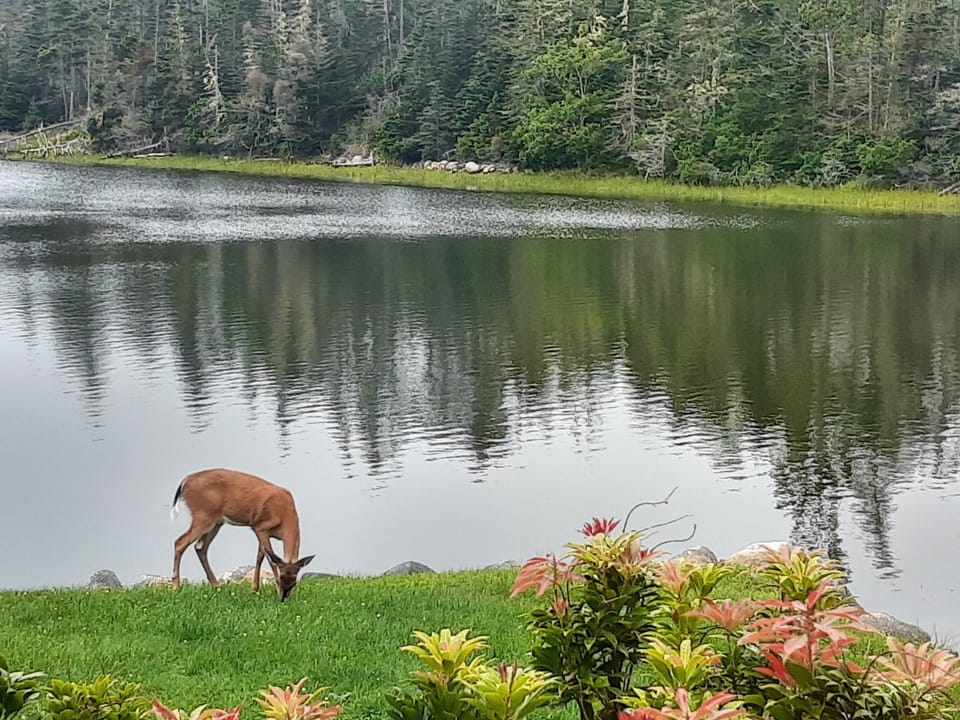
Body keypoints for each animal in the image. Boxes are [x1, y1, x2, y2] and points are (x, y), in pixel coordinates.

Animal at [169, 468, 315, 601]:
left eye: (295, 582)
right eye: (281, 576)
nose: (284, 598)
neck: (284, 516)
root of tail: (184, 482)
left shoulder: (262, 532)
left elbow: (260, 556)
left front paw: (255, 590)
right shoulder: (260, 527)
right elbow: (270, 560)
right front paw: (270, 589)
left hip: (216, 522)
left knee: (200, 547)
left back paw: (217, 587)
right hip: (203, 516)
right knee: (180, 542)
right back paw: (176, 587)